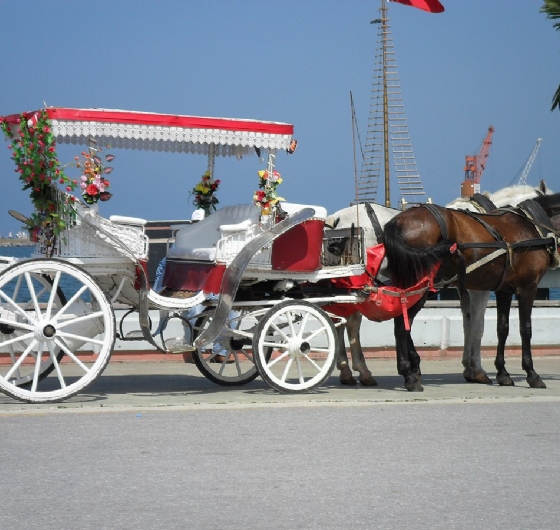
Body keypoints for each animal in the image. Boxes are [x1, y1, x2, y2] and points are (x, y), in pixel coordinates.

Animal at [382, 192, 560, 390]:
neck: (531, 226)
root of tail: (398, 221)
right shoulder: (528, 287)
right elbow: (525, 329)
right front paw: (532, 373)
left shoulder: (504, 290)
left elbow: (502, 328)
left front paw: (503, 373)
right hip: (420, 286)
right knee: (401, 325)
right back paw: (409, 375)